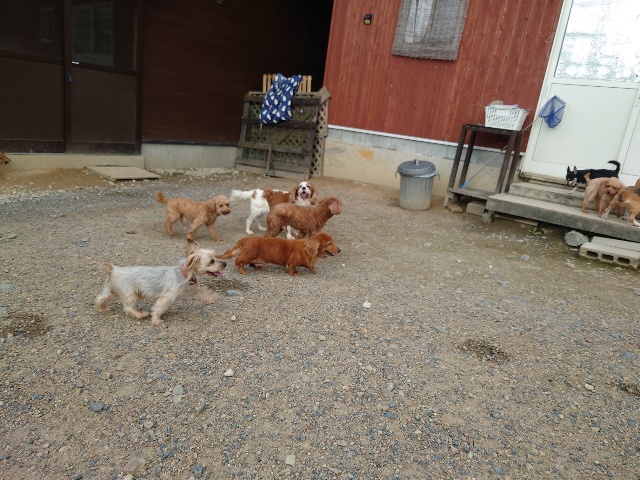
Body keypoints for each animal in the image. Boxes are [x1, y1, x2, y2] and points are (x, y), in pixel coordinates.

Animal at [96, 240, 226, 325]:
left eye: (215, 257)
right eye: (211, 261)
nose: (225, 263)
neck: (185, 274)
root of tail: (114, 270)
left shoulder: (192, 290)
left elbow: (203, 293)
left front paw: (213, 298)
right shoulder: (167, 297)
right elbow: (159, 308)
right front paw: (156, 320)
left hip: (111, 291)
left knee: (101, 298)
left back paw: (103, 309)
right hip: (129, 295)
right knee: (128, 308)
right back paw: (141, 314)